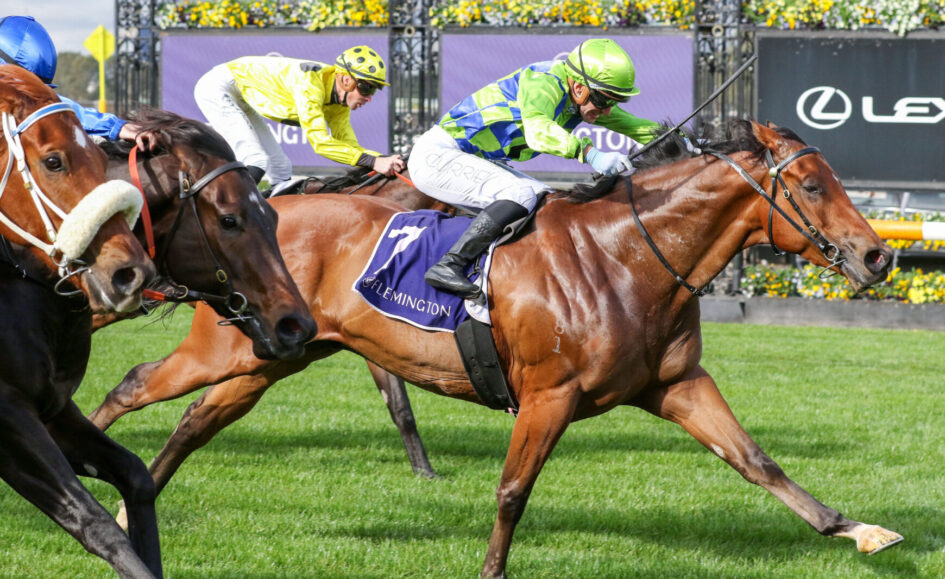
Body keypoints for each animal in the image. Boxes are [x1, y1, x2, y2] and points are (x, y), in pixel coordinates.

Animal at [0, 65, 161, 577]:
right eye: (53, 161)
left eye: (97, 155)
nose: (132, 273)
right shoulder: (8, 416)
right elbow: (92, 520)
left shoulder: (52, 407)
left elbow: (136, 476)